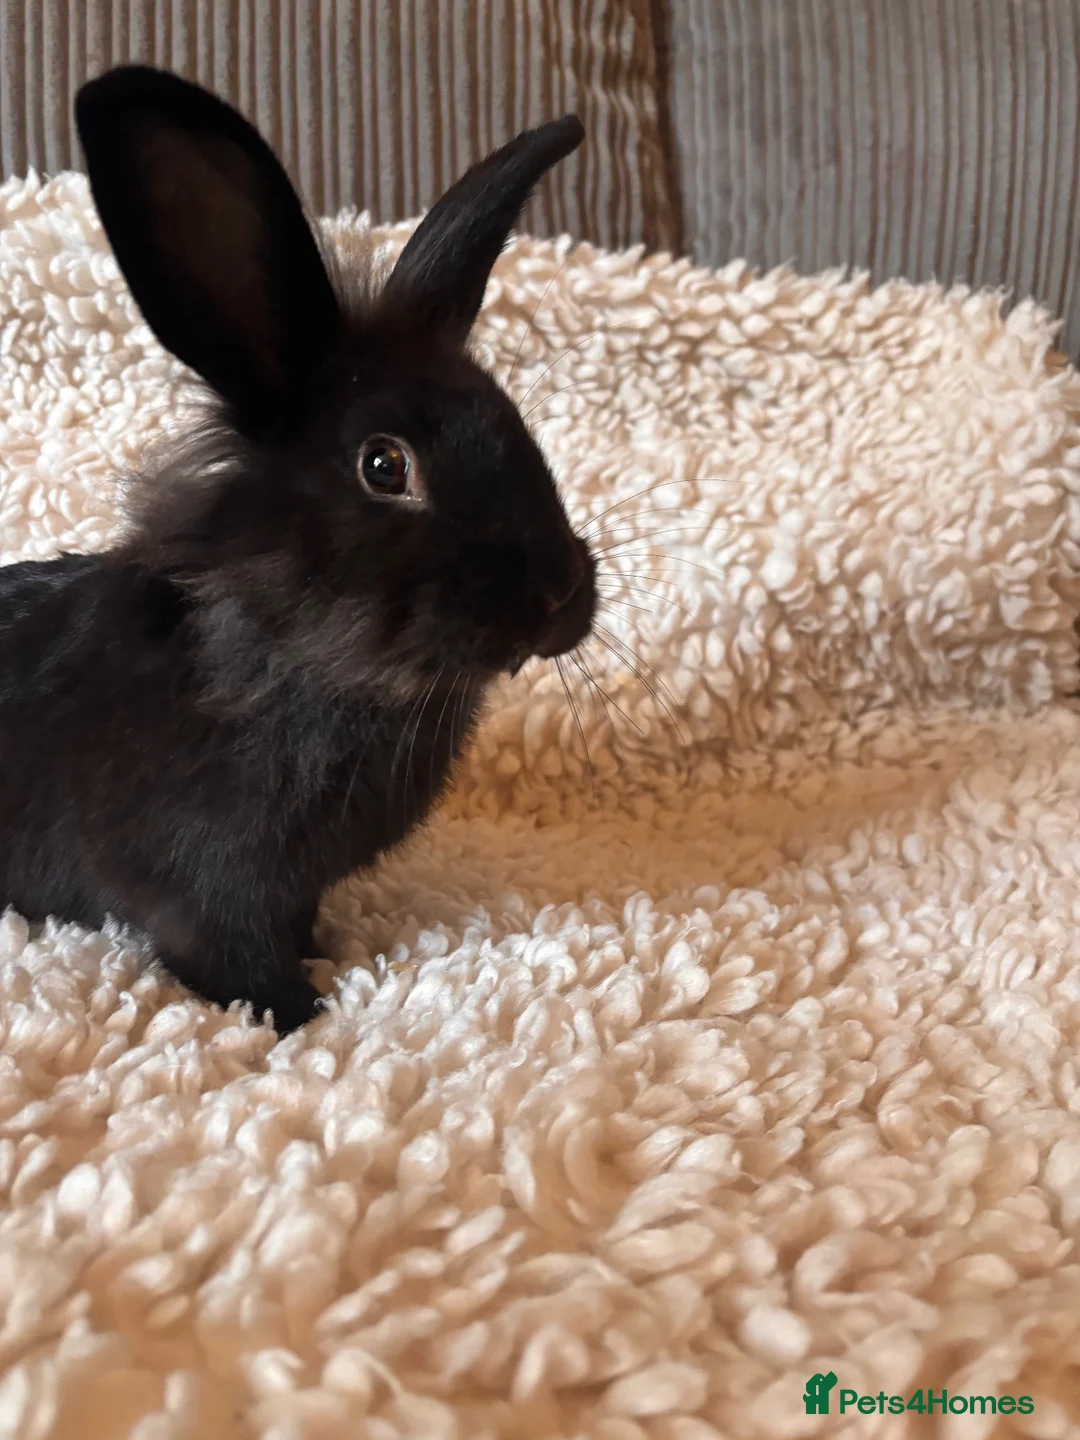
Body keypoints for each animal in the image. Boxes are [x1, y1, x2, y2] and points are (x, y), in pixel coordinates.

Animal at [0, 65, 595, 1034]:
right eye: (385, 465)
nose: (561, 594)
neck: (286, 658)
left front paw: (324, 955)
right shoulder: (205, 892)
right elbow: (231, 958)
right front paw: (299, 1011)